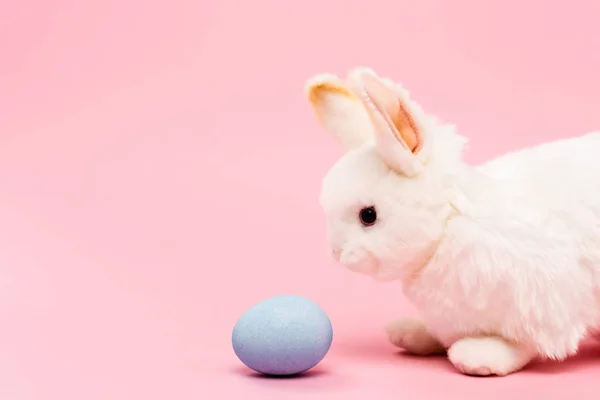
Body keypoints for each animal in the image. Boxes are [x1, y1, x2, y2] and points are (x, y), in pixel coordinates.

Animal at [304, 67, 600, 376]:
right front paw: (412, 333)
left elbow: (521, 344)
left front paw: (480, 355)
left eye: (368, 215)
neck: (447, 226)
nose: (336, 253)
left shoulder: (543, 304)